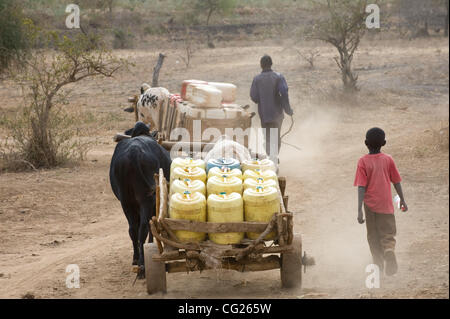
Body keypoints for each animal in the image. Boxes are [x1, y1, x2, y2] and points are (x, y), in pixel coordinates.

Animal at [110, 122, 171, 278]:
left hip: (126, 202)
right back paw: (142, 265)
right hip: (143, 200)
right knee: (142, 228)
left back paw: (138, 260)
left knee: (133, 229)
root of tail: (134, 152)